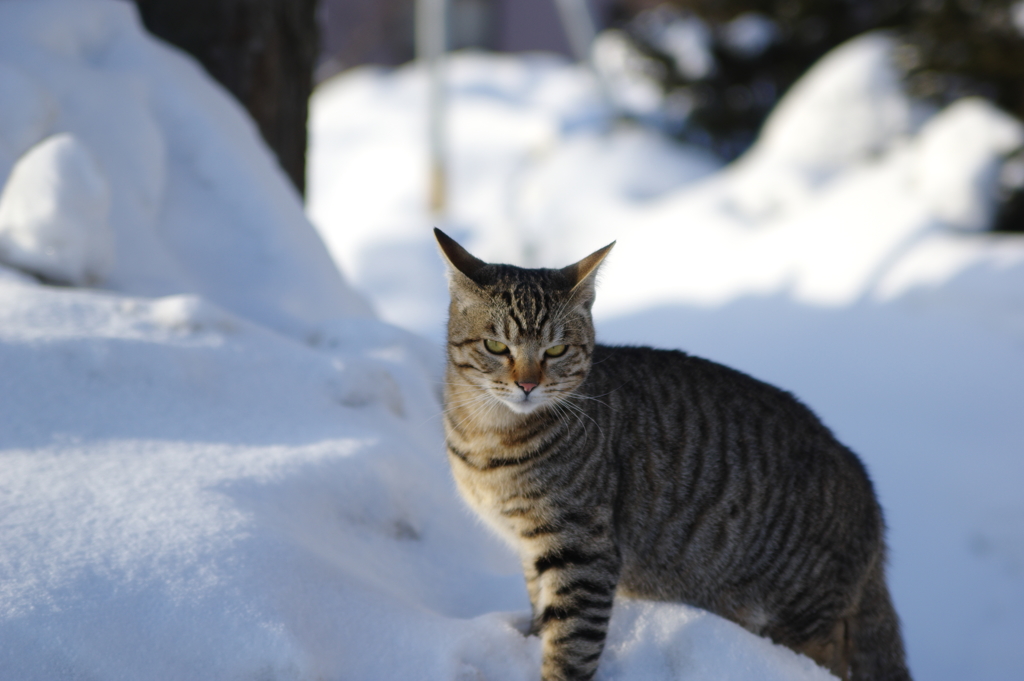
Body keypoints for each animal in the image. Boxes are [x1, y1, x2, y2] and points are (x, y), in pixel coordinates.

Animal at [436, 228, 917, 679]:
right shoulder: (533, 549)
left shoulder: (583, 549)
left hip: (803, 612)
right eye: (496, 347)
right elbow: (543, 614)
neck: (488, 439)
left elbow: (571, 645)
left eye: (556, 350)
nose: (528, 384)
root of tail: (867, 489)